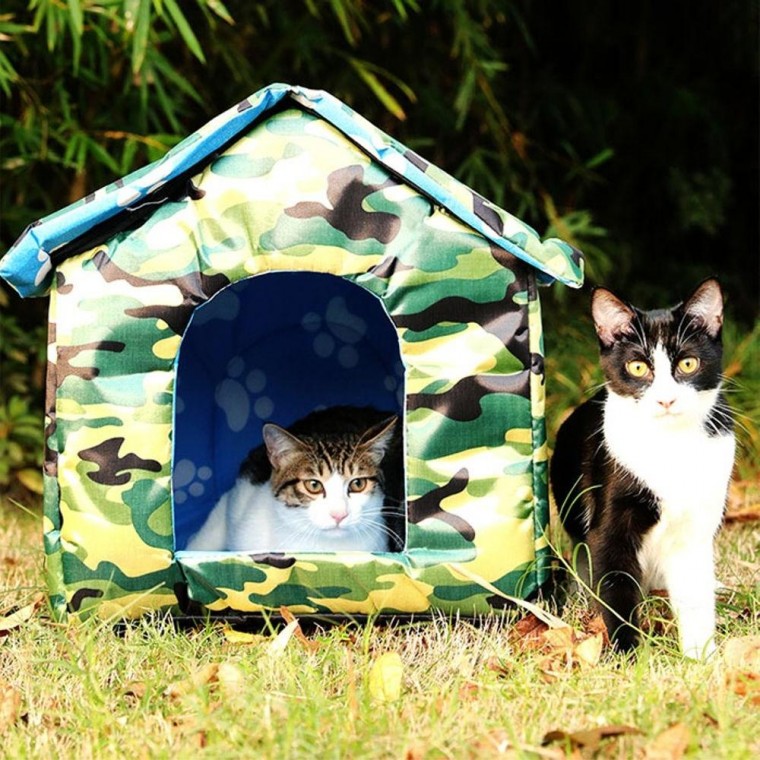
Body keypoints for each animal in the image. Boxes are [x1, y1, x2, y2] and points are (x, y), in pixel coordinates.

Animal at [548, 280, 732, 660]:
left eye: (688, 363)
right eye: (637, 368)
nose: (666, 400)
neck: (670, 444)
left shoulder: (695, 530)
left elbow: (695, 593)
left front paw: (701, 657)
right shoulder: (609, 519)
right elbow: (614, 580)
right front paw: (628, 654)